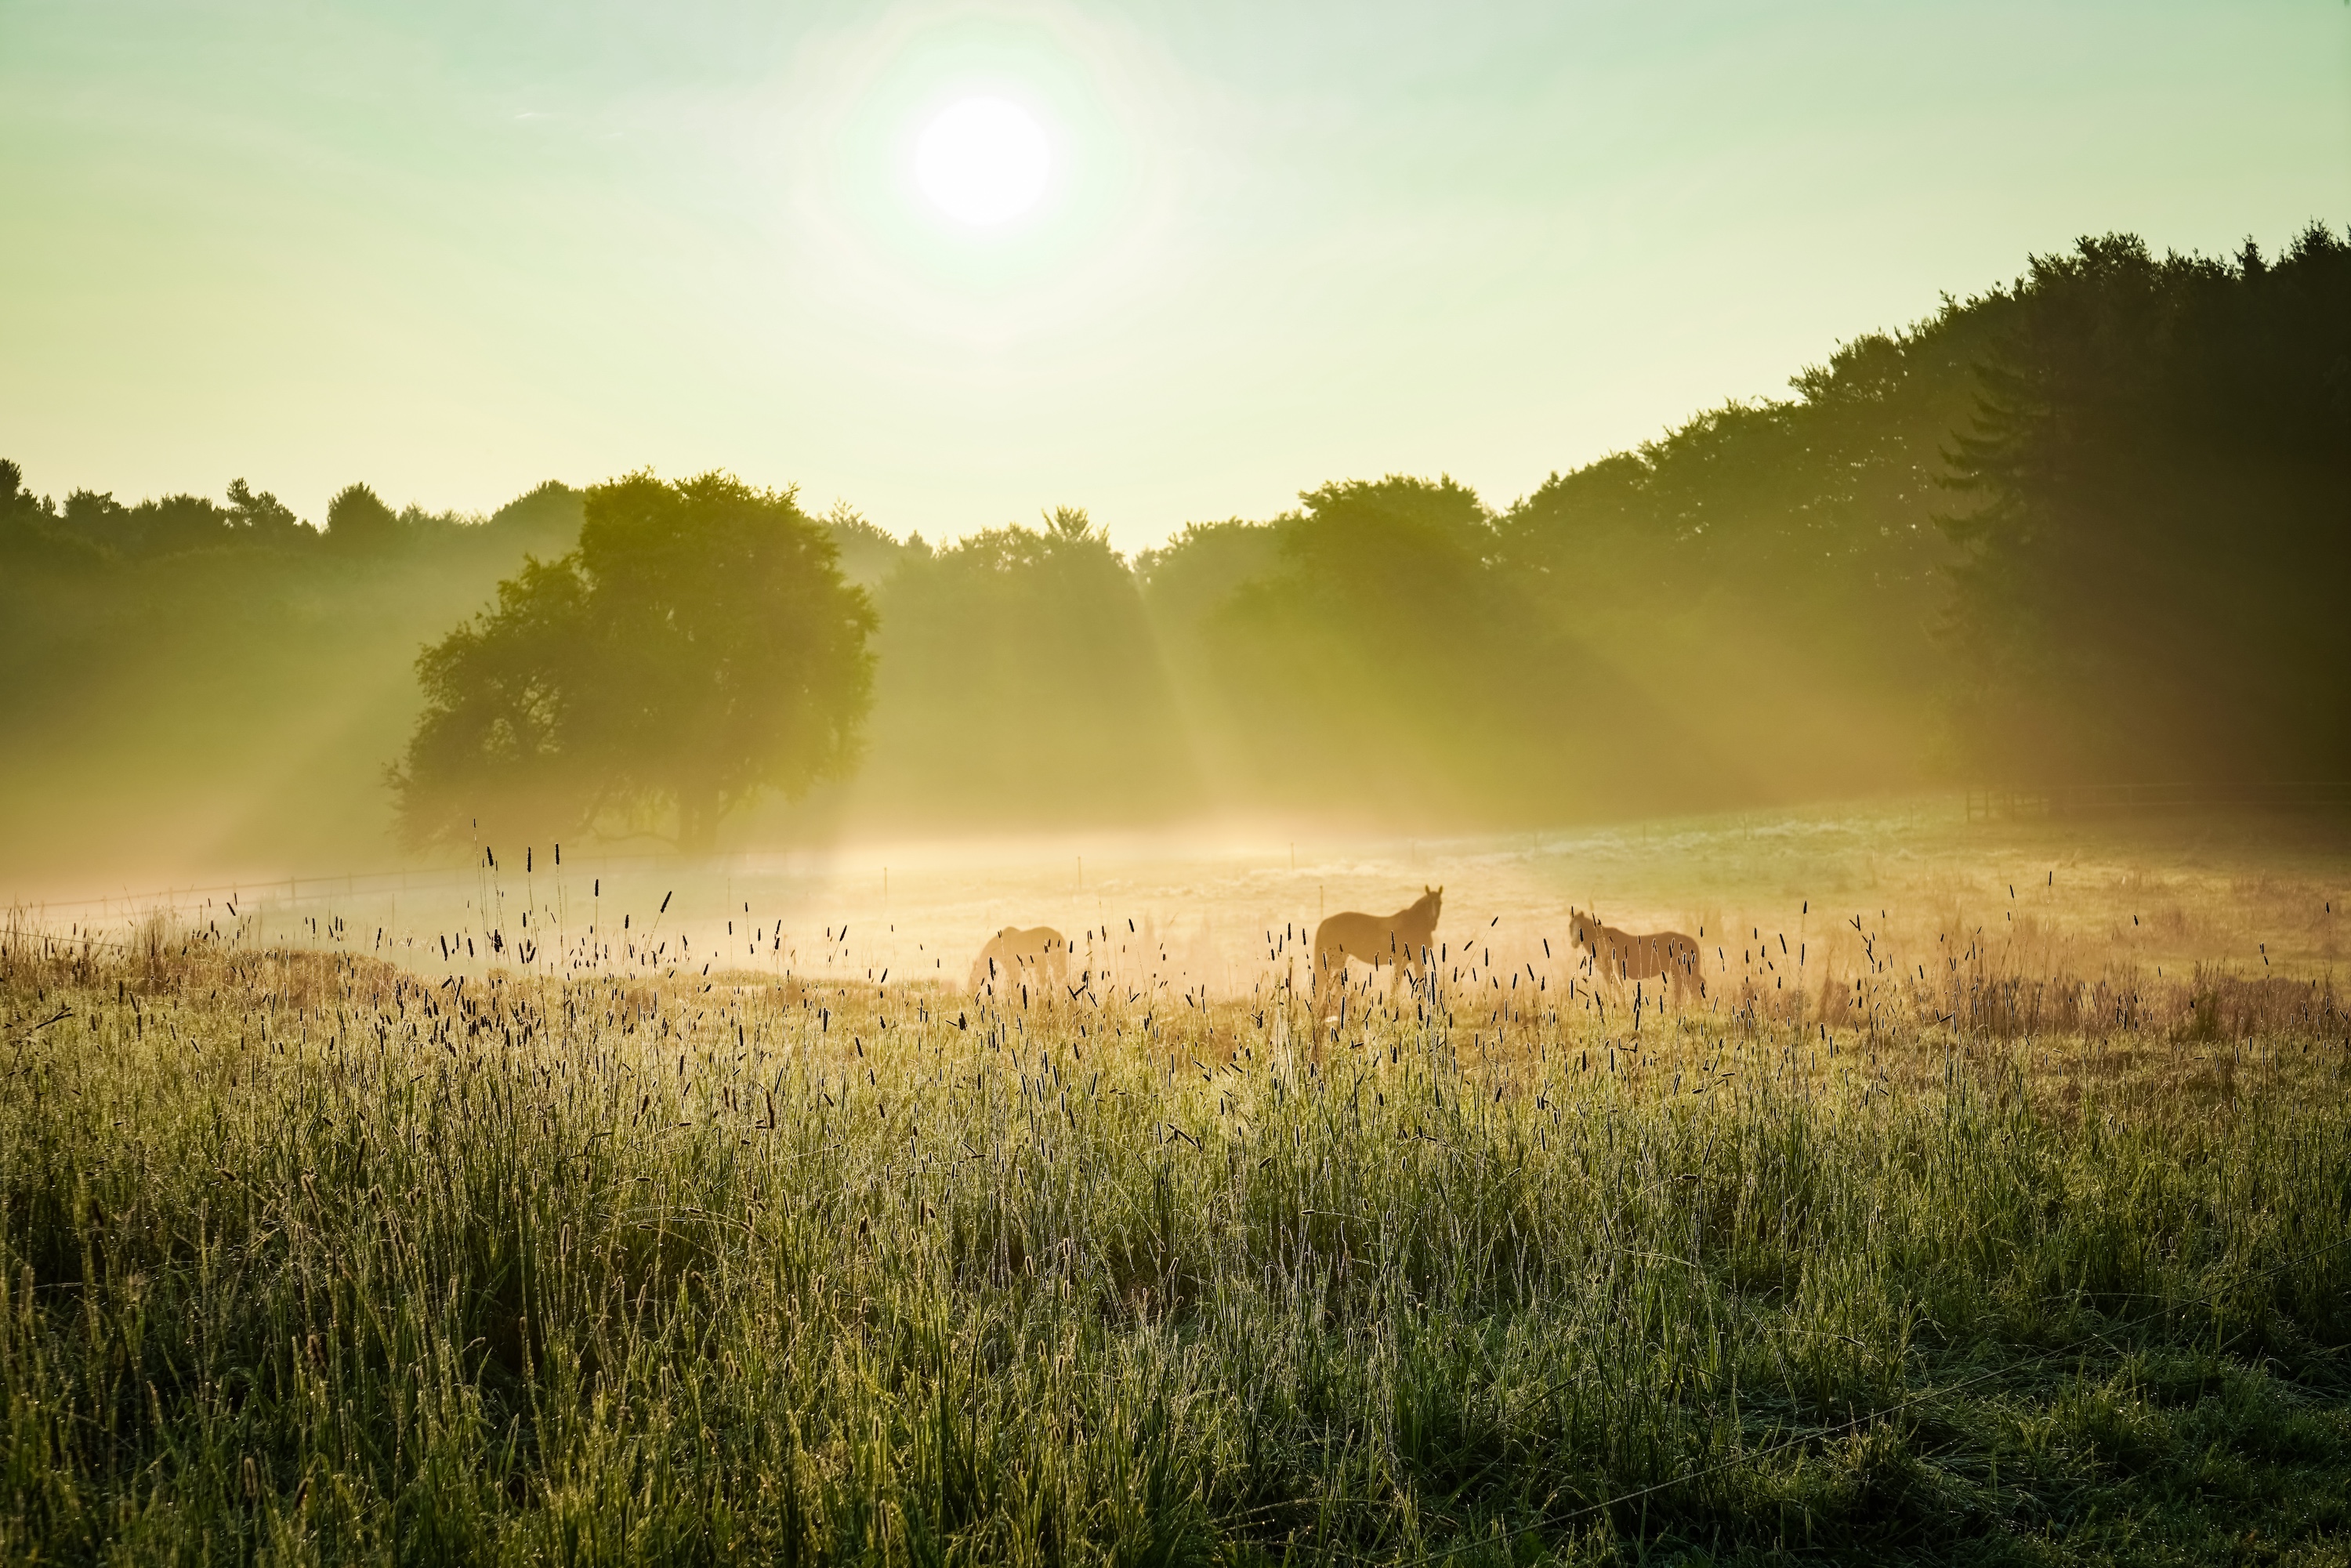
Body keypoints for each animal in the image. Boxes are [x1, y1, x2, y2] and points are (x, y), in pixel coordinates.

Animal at [1312, 886, 1443, 1021]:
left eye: (1440, 903)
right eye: (1428, 904)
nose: (1433, 923)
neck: (1414, 925)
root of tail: (1326, 922)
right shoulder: (1411, 961)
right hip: (1337, 959)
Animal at [1568, 907, 1704, 1002]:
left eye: (1581, 927)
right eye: (1570, 926)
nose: (1574, 943)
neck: (1601, 942)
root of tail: (1692, 942)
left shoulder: (1609, 972)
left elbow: (1616, 993)